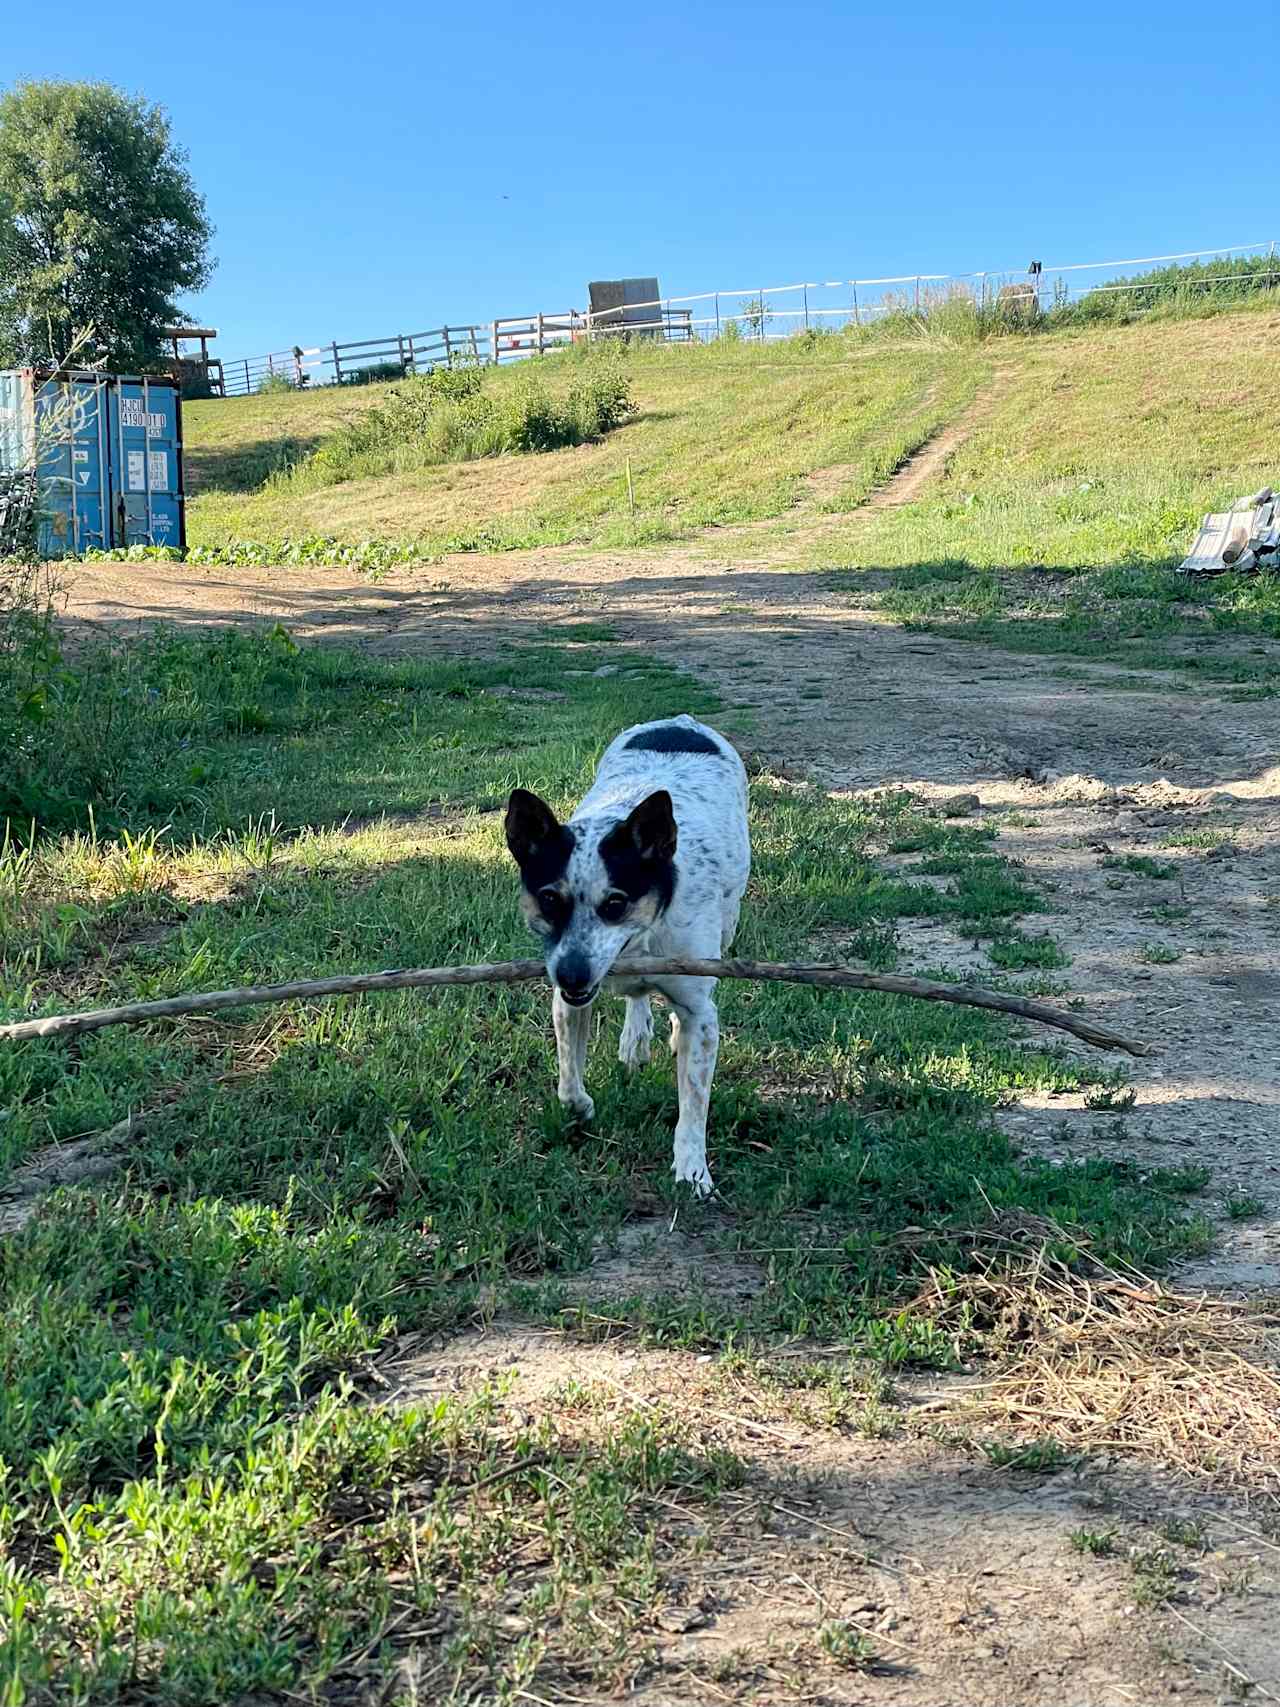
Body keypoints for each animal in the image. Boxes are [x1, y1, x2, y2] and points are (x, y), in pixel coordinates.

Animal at [505, 713, 750, 1194]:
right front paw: (580, 1107)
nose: (573, 976)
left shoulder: (699, 1009)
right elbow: (568, 1082)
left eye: (615, 903)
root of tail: (680, 720)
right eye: (549, 900)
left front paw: (693, 1169)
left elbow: (693, 1104)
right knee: (637, 999)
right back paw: (635, 1038)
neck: (638, 942)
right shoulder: (568, 997)